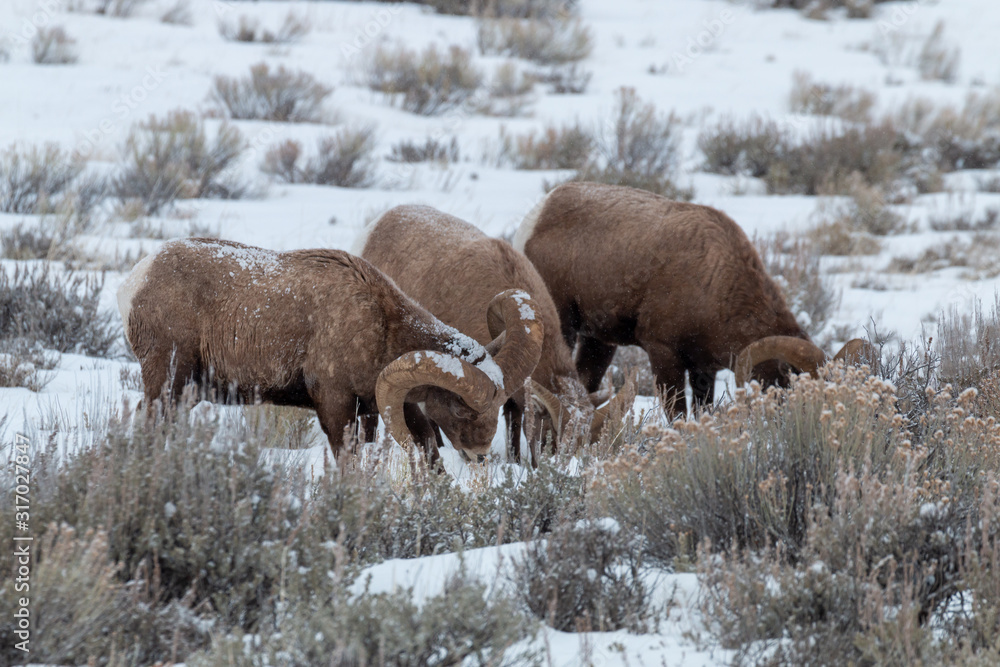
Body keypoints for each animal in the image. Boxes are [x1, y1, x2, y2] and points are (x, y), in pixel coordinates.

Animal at [117, 237, 548, 462]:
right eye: (461, 408)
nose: (479, 455)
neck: (379, 323)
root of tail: (137, 280)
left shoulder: (386, 403)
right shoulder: (336, 406)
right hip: (167, 381)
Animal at [516, 181, 868, 412]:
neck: (715, 284)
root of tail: (535, 219)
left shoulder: (703, 370)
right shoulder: (663, 354)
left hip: (599, 341)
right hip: (564, 328)